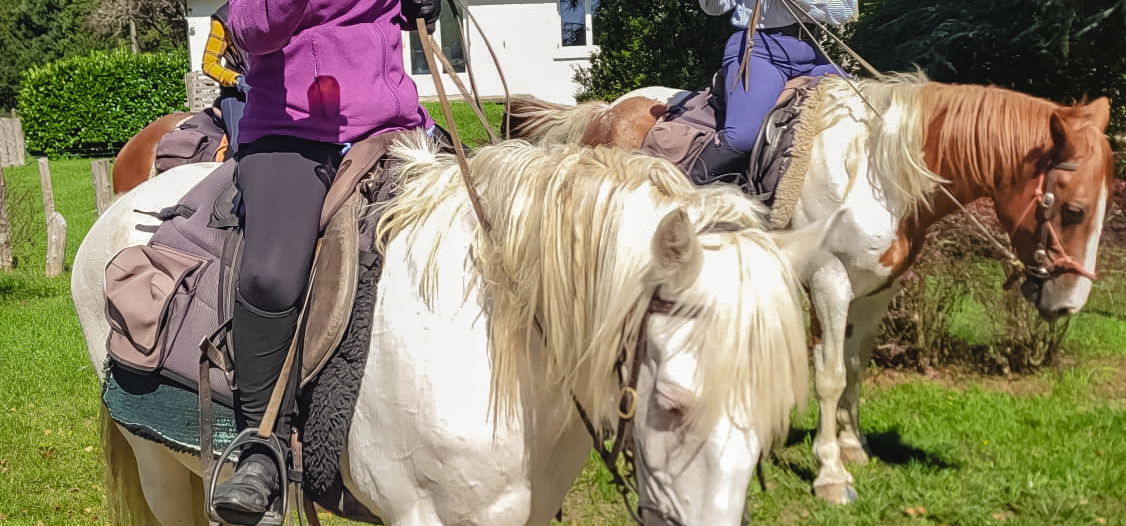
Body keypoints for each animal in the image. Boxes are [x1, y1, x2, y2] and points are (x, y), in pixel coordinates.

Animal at [506, 73, 1117, 503]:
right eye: (1074, 208)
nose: (1069, 302)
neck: (879, 172)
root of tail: (604, 112)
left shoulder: (876, 291)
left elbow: (856, 366)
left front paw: (853, 445)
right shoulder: (829, 281)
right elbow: (828, 374)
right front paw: (830, 473)